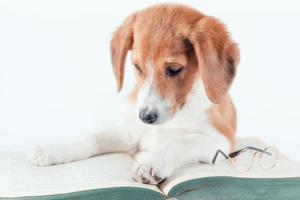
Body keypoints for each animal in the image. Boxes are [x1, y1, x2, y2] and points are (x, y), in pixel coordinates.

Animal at [28, 3, 239, 185]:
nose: (146, 117)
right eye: (137, 67)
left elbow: (180, 142)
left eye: (174, 69)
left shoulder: (220, 140)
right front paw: (54, 150)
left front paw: (152, 163)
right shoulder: (131, 133)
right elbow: (93, 138)